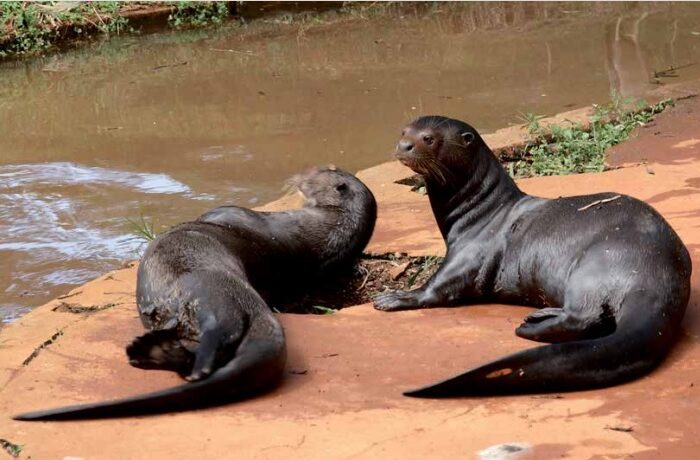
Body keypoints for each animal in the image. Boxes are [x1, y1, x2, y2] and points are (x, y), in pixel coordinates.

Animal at [15, 166, 378, 420]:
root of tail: (255, 307)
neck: (314, 235)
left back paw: (178, 362)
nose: (302, 172)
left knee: (215, 336)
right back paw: (152, 354)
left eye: (318, 172)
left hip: (207, 295)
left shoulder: (232, 213)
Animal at [374, 115, 692, 396]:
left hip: (596, 263)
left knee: (585, 315)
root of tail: (655, 277)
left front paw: (394, 297)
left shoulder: (470, 253)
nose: (404, 146)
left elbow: (437, 289)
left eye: (428, 138)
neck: (481, 211)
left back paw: (529, 326)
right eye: (404, 131)